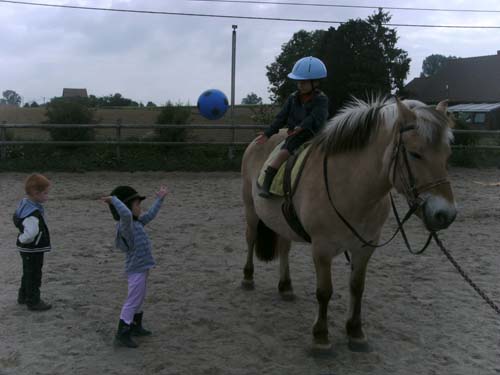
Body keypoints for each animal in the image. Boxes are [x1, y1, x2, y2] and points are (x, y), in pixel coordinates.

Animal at [241, 97, 458, 352]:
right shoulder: (322, 249)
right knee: (250, 238)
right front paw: (321, 337)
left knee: (284, 247)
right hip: (251, 210)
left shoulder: (365, 247)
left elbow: (357, 287)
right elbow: (324, 291)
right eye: (415, 154)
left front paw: (355, 331)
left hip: (282, 221)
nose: (445, 214)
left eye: (447, 154)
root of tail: (259, 140)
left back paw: (286, 286)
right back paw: (247, 277)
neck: (350, 185)